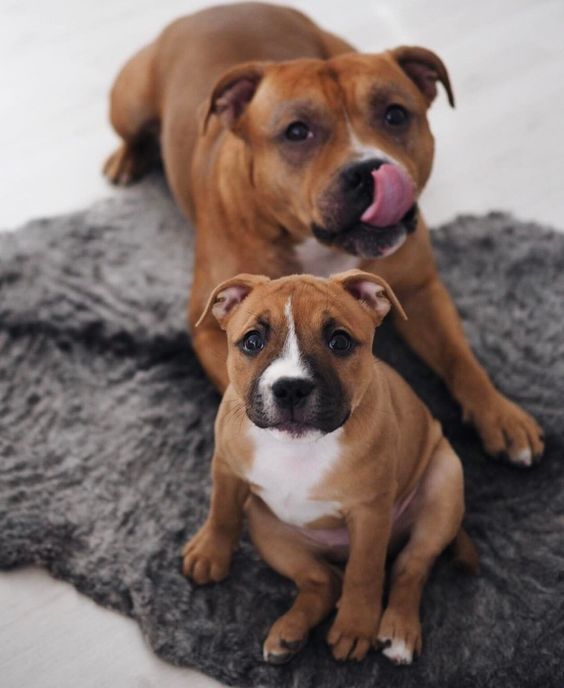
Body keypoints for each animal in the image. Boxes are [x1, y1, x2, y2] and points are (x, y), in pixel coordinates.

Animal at [104, 2, 540, 464]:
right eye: (296, 132)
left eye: (396, 114)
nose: (369, 169)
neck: (315, 241)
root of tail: (214, 11)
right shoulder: (209, 330)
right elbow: (240, 390)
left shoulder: (420, 290)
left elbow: (460, 355)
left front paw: (501, 414)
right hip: (129, 103)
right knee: (131, 132)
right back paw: (125, 159)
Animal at [182, 272, 476, 664]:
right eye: (252, 341)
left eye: (339, 341)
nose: (291, 388)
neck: (297, 449)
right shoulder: (227, 468)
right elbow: (222, 511)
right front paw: (209, 553)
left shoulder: (370, 513)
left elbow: (364, 572)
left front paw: (354, 627)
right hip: (267, 528)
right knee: (324, 581)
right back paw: (289, 633)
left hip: (444, 485)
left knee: (408, 568)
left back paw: (398, 631)